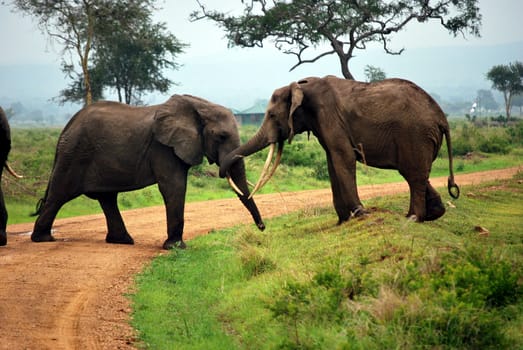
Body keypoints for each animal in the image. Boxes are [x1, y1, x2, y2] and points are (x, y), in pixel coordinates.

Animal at [30, 94, 266, 250]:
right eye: (221, 136)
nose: (262, 227)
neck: (199, 106)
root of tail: (66, 128)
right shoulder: (163, 148)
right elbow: (174, 186)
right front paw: (175, 247)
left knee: (107, 198)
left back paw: (122, 241)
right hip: (74, 154)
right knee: (60, 194)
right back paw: (42, 239)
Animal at [219, 76, 460, 224]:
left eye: (271, 115)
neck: (300, 86)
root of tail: (442, 118)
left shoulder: (329, 118)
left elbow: (343, 158)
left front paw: (360, 214)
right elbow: (332, 162)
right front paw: (343, 220)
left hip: (415, 135)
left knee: (413, 174)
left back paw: (412, 218)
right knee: (416, 173)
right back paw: (434, 213)